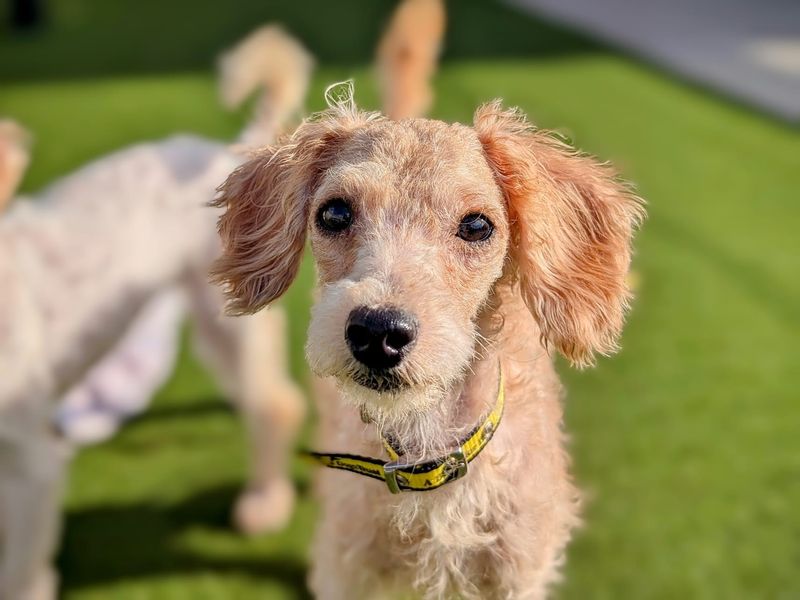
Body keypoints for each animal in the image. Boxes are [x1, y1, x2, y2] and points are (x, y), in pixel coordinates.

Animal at [0, 24, 310, 600]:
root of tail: (224, 151)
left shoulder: (32, 466)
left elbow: (21, 574)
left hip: (227, 316)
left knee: (274, 404)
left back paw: (266, 502)